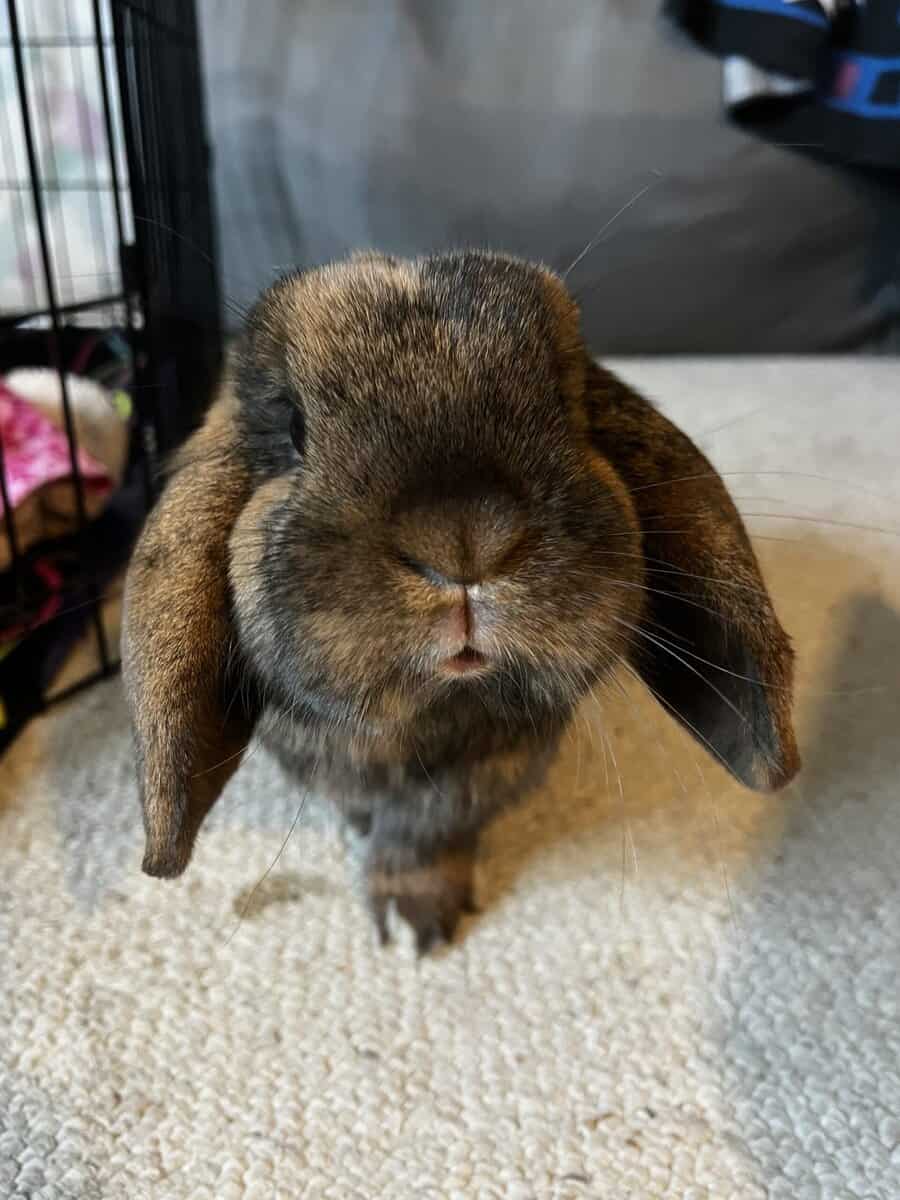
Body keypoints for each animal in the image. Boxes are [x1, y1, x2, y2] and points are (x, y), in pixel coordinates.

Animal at [122, 250, 800, 953]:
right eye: (293, 426)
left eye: (568, 404)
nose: (464, 538)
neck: (428, 719)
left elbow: (424, 839)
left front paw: (418, 922)